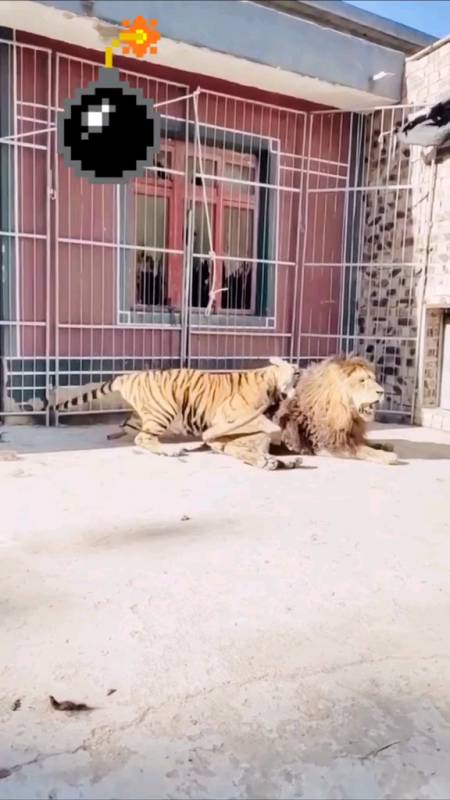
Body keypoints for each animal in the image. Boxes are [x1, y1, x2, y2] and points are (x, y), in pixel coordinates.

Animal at [49, 358, 303, 470]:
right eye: (296, 373)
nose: (300, 372)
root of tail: (129, 376)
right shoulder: (230, 417)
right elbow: (259, 429)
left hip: (144, 415)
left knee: (130, 429)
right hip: (164, 410)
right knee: (143, 438)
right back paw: (171, 451)